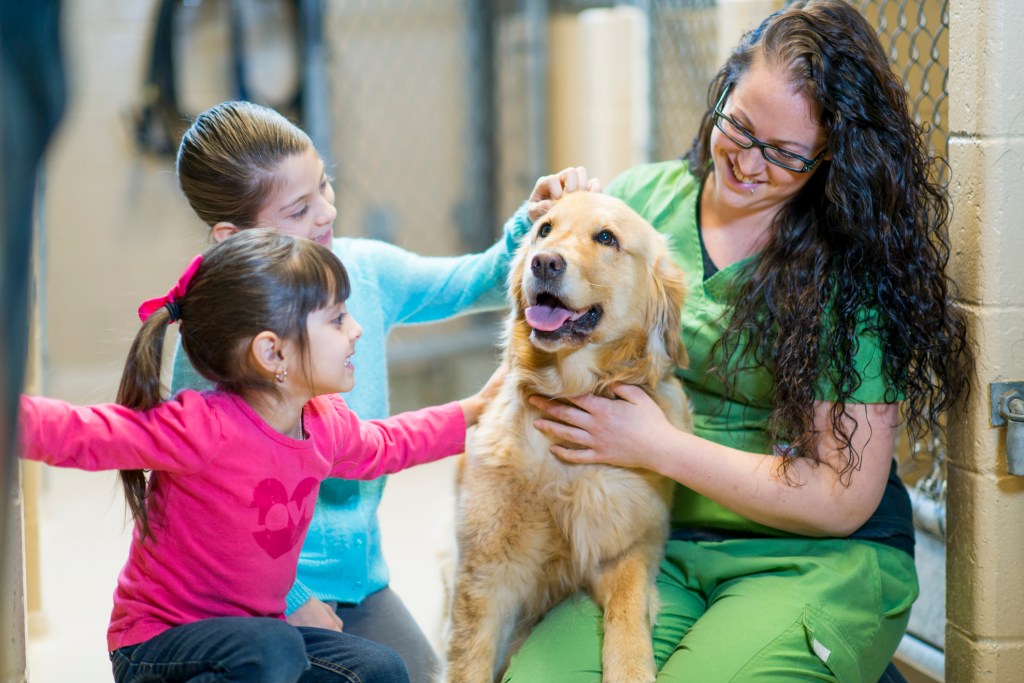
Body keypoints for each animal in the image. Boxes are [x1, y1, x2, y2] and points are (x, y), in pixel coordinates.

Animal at [444, 189, 692, 679]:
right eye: (544, 229)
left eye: (606, 238)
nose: (543, 262)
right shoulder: (484, 575)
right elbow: (469, 663)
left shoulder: (628, 548)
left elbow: (628, 610)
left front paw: (631, 668)